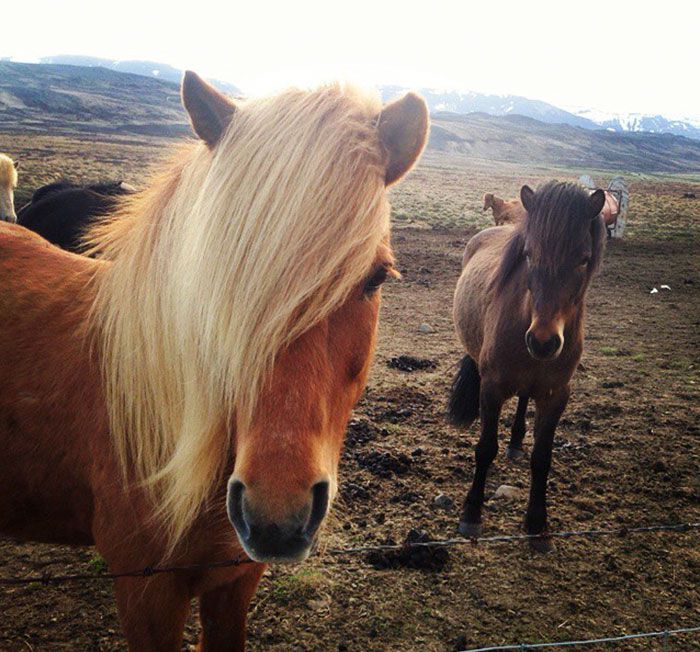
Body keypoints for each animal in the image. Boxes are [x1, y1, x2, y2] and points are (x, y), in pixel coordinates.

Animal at [452, 182, 604, 544]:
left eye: (584, 259)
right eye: (530, 255)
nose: (543, 341)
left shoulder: (555, 395)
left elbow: (542, 458)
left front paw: (537, 522)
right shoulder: (491, 389)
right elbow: (485, 449)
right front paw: (471, 514)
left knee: (523, 397)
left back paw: (517, 441)